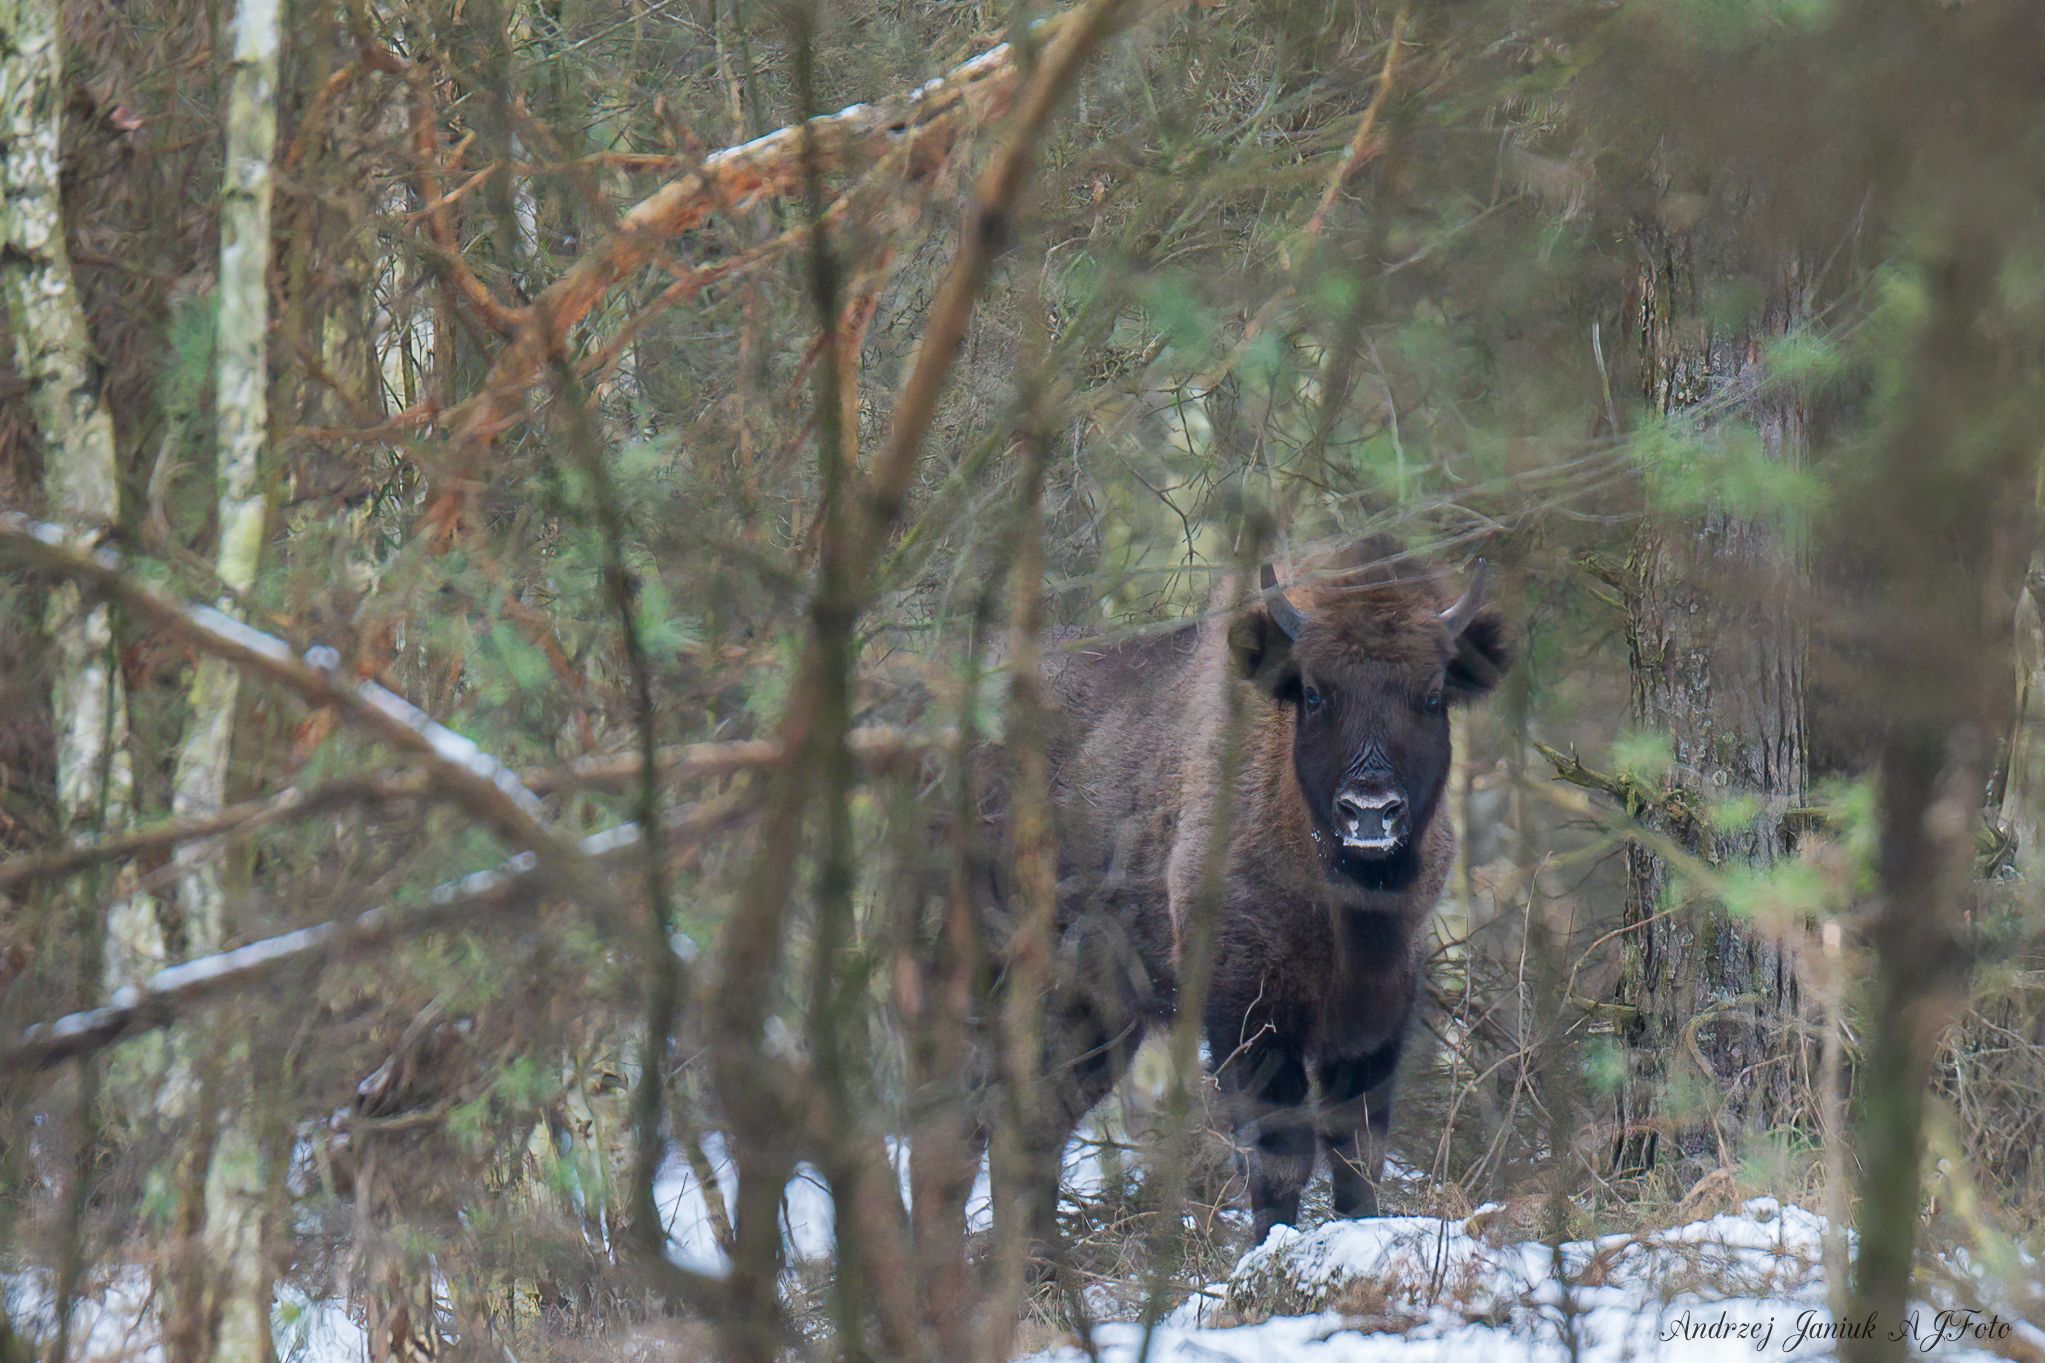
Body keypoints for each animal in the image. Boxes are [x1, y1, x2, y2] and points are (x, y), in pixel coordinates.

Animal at [1014, 539, 1513, 1242]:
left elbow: (1358, 1148)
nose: (1370, 812)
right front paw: (1270, 1241)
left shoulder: (1381, 1010)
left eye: (1432, 695)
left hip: (1100, 1013)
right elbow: (1279, 1155)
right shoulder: (1247, 1012)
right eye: (1315, 693)